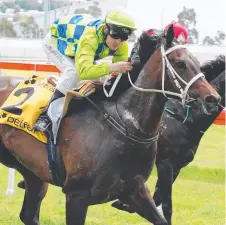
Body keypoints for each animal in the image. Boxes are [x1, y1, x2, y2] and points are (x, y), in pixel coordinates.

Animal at [112, 55, 225, 224]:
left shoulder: (177, 166)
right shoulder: (165, 163)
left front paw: (124, 203)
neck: (184, 118)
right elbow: (166, 205)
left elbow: (157, 198)